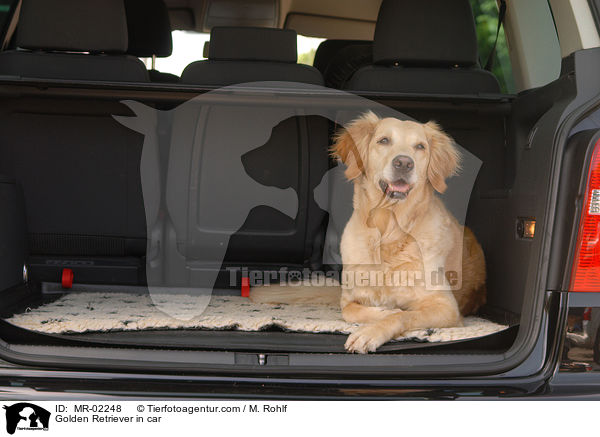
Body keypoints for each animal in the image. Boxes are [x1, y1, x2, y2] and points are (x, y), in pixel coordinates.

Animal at [251, 111, 486, 350]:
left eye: (420, 146)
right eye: (384, 140)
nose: (404, 163)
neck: (388, 232)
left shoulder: (446, 306)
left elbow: (403, 315)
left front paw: (371, 332)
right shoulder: (349, 297)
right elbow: (352, 310)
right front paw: (382, 311)